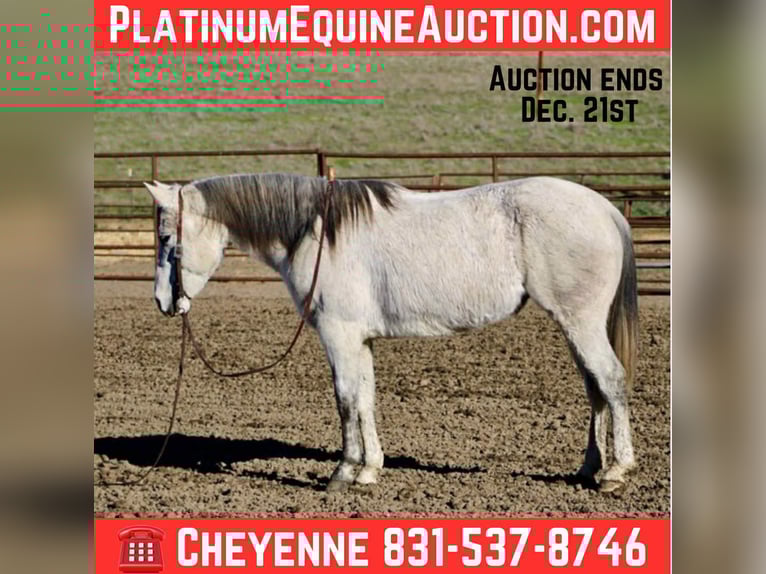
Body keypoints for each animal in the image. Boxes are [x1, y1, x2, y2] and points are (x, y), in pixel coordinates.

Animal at [144, 173, 638, 493]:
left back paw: (616, 472)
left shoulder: (339, 335)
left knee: (611, 381)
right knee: (594, 387)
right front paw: (369, 471)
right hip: (575, 327)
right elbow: (365, 399)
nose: (163, 303)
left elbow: (345, 400)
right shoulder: (358, 339)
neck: (319, 234)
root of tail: (603, 208)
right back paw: (589, 468)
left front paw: (343, 473)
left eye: (166, 239)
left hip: (581, 322)